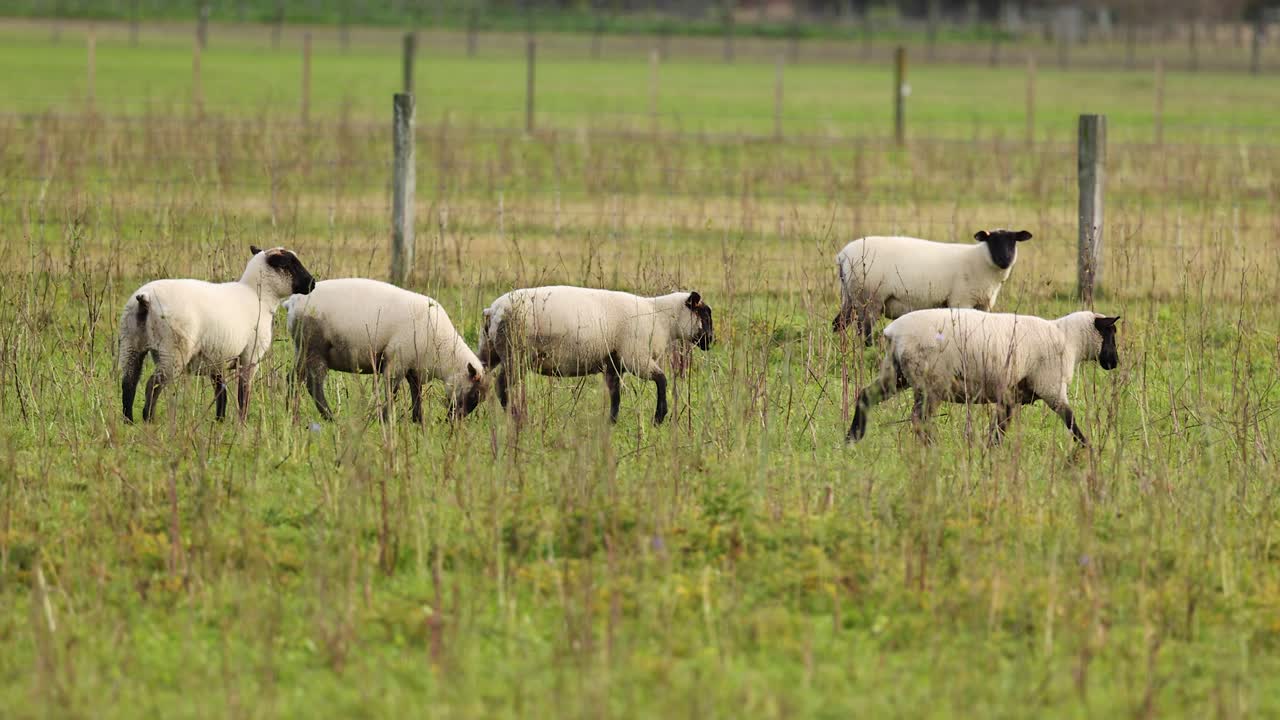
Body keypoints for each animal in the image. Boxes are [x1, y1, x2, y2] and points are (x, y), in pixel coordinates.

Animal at [117, 246, 316, 423]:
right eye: (289, 265)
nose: (312, 283)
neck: (259, 296)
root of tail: (145, 298)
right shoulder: (250, 356)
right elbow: (243, 392)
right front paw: (242, 422)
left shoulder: (216, 357)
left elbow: (221, 390)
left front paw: (220, 420)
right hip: (173, 351)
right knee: (153, 384)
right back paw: (148, 419)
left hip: (131, 343)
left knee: (128, 382)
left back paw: (128, 420)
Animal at [283, 279, 485, 423]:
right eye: (474, 394)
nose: (453, 421)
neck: (443, 351)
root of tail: (292, 303)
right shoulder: (396, 361)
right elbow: (391, 391)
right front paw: (386, 420)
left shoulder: (413, 366)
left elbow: (416, 393)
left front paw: (418, 421)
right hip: (315, 347)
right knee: (313, 384)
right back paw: (330, 418)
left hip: (301, 348)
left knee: (293, 379)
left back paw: (291, 414)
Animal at [478, 286, 714, 424]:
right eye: (704, 315)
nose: (711, 341)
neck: (661, 318)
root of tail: (493, 310)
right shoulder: (634, 357)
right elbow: (662, 379)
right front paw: (659, 417)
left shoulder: (614, 363)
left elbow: (615, 395)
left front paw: (611, 423)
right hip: (515, 353)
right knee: (501, 385)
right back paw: (515, 418)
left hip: (490, 350)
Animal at [832, 229, 1033, 345]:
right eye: (992, 241)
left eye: (1013, 242)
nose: (1005, 260)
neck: (981, 262)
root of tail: (843, 255)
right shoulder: (961, 300)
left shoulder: (983, 304)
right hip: (870, 298)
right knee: (865, 331)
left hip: (850, 296)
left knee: (838, 323)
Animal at [846, 308, 1120, 446]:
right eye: (1111, 332)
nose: (1114, 363)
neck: (1070, 340)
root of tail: (894, 332)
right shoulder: (1051, 387)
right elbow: (1070, 420)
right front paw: (1087, 449)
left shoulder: (1010, 393)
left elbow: (1001, 425)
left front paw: (991, 450)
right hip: (931, 381)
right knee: (919, 419)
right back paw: (932, 448)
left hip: (896, 373)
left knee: (865, 396)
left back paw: (852, 438)